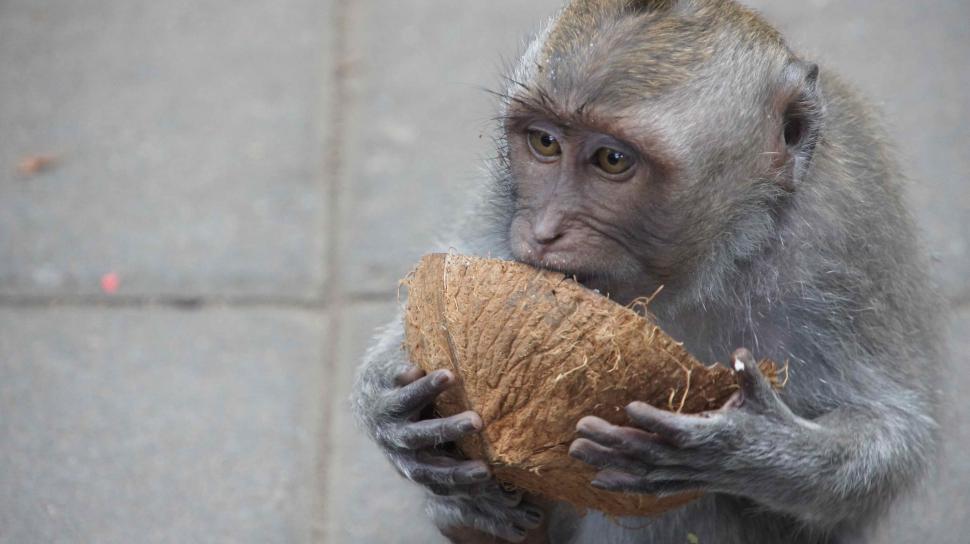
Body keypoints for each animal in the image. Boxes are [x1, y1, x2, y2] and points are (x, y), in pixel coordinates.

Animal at [352, 0, 943, 542]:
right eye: (544, 142)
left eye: (612, 160)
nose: (543, 231)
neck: (712, 260)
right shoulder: (500, 200)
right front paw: (385, 400)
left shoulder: (843, 241)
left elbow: (892, 439)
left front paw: (739, 447)